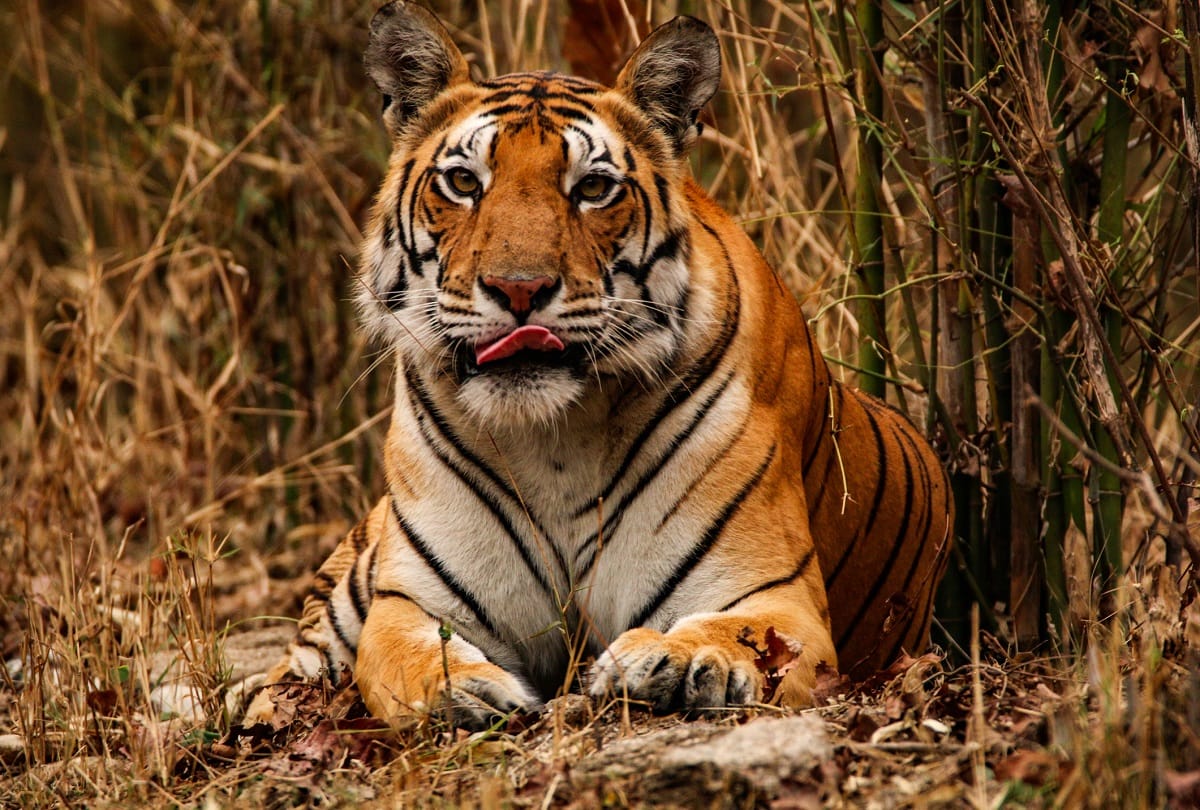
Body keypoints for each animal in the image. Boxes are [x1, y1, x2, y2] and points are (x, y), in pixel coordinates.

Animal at [245, 2, 953, 730]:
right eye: (464, 182)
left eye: (592, 188)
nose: (520, 288)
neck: (551, 438)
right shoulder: (412, 603)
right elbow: (410, 658)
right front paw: (465, 690)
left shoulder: (774, 595)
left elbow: (737, 633)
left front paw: (679, 661)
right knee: (287, 671)